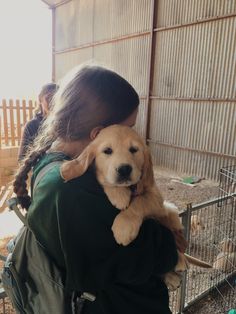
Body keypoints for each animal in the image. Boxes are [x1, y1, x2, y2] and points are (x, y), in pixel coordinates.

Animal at [60, 124, 212, 290]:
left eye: (134, 149)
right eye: (107, 151)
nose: (124, 169)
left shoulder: (155, 196)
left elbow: (140, 201)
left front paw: (124, 227)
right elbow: (107, 181)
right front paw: (119, 195)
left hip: (170, 211)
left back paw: (180, 261)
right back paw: (172, 277)